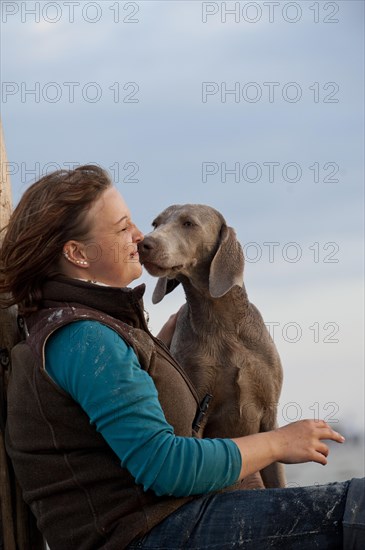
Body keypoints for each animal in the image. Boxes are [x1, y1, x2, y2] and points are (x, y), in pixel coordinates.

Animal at [139, 205, 284, 490]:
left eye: (188, 223)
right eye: (155, 224)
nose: (143, 244)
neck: (221, 323)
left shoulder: (269, 417)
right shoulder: (198, 416)